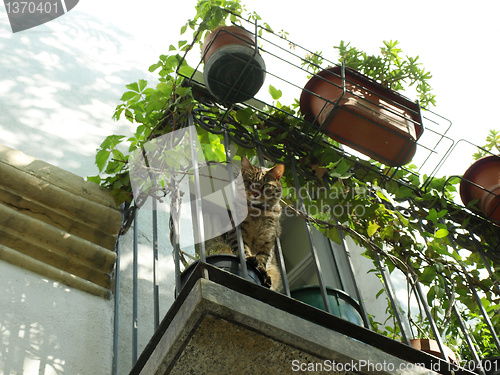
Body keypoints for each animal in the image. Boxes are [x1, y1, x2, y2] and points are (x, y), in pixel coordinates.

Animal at [206, 156, 286, 290]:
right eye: (249, 182)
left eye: (266, 185)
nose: (255, 193)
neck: (259, 212)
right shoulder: (237, 233)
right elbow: (243, 249)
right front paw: (249, 258)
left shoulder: (268, 241)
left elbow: (263, 259)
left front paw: (262, 272)